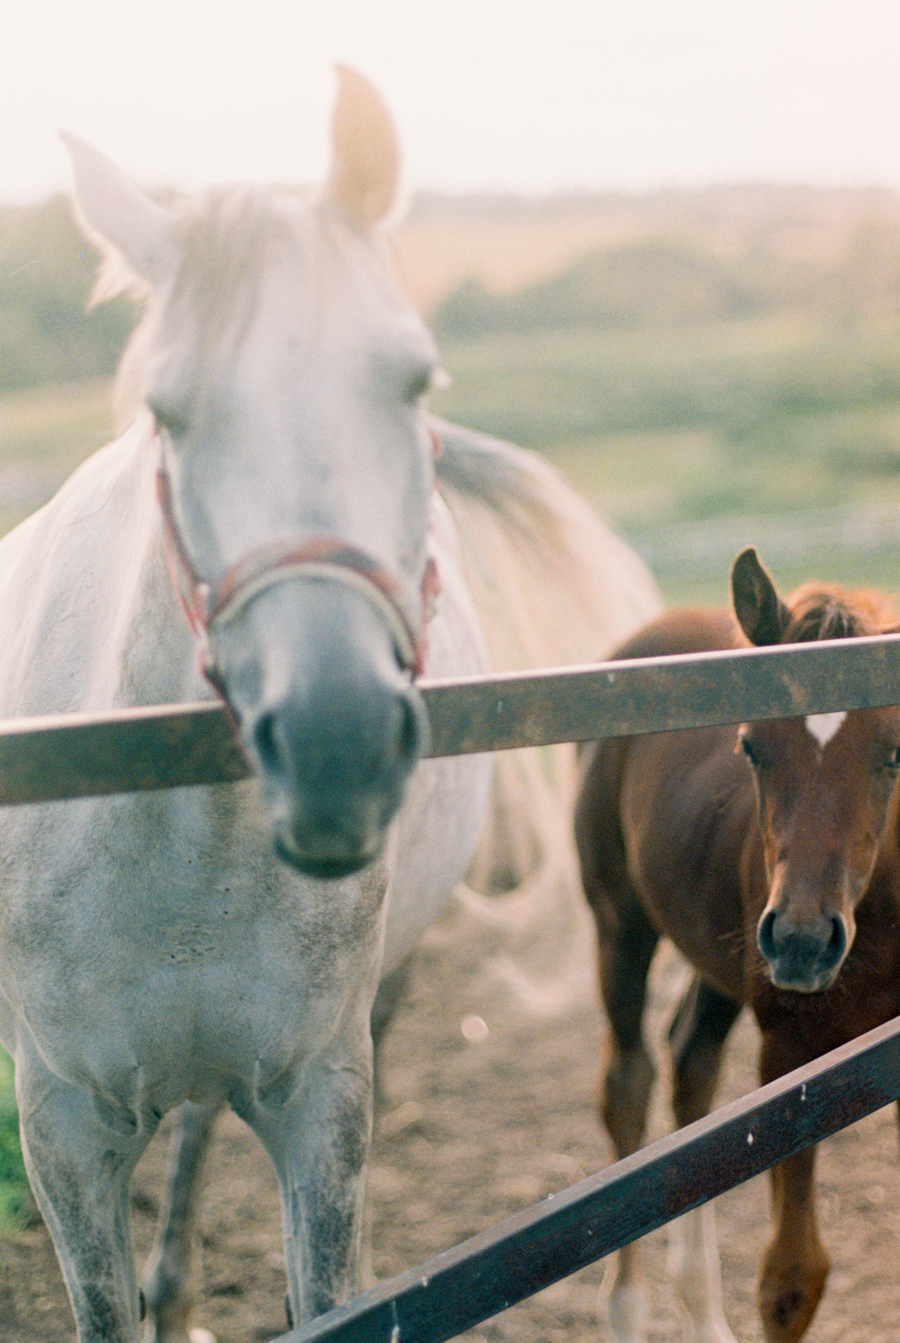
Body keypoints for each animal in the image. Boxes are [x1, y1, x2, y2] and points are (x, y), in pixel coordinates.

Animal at [574, 547, 900, 1343]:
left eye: (893, 752)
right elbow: (791, 1278)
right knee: (629, 1083)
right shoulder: (789, 1050)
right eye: (752, 745)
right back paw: (626, 1307)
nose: (805, 942)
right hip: (621, 927)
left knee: (691, 1064)